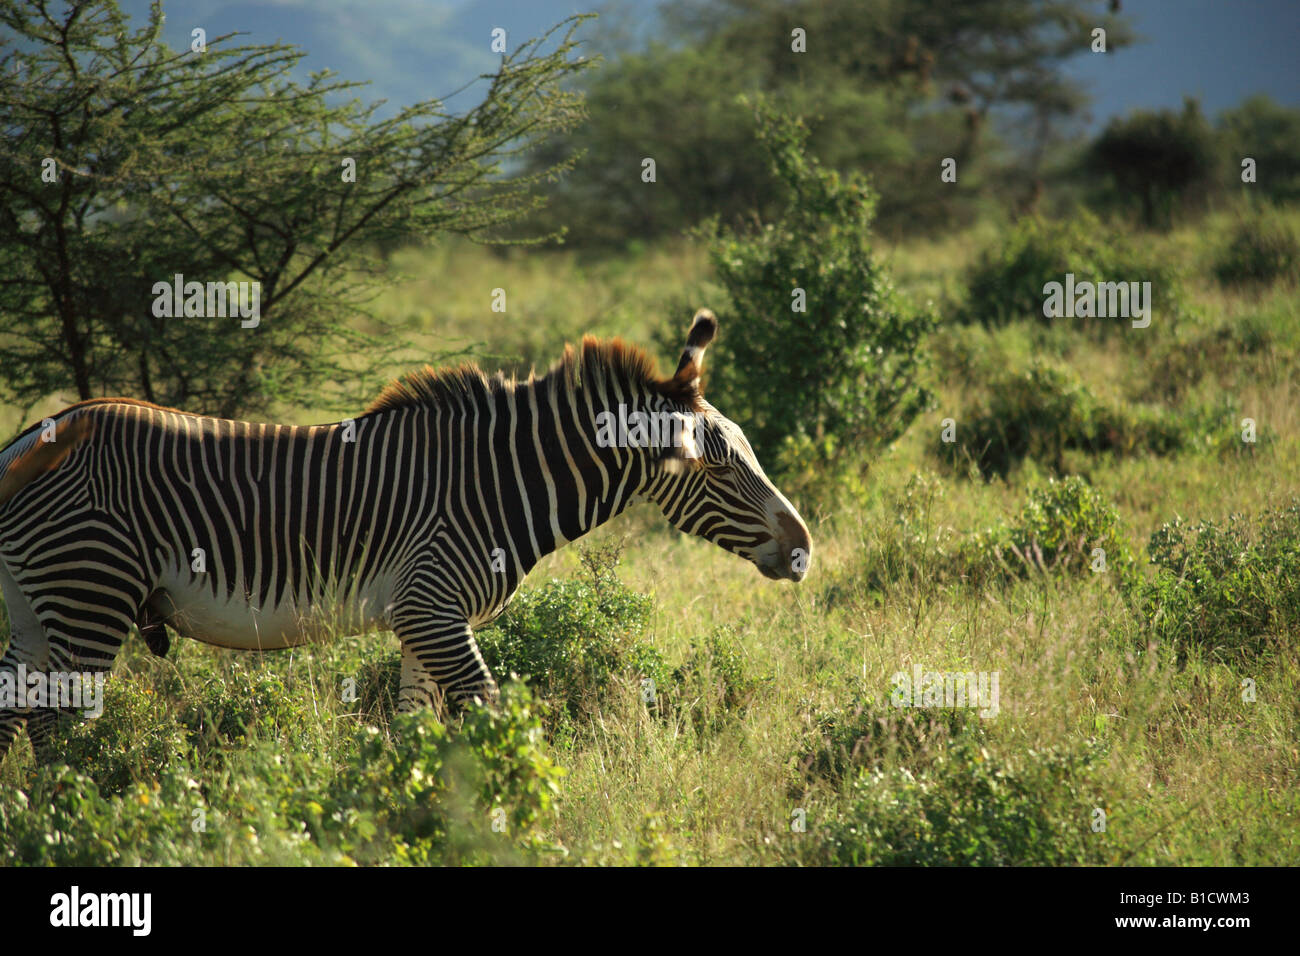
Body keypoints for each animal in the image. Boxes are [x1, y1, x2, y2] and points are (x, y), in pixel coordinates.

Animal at [0, 310, 811, 759]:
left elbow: (415, 730)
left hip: (34, 607)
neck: (498, 481)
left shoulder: (420, 622)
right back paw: (72, 820)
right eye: (718, 467)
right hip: (91, 593)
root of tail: (41, 434)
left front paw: (401, 809)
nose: (805, 551)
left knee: (15, 713)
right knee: (54, 729)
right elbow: (493, 715)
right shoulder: (433, 607)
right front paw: (519, 809)